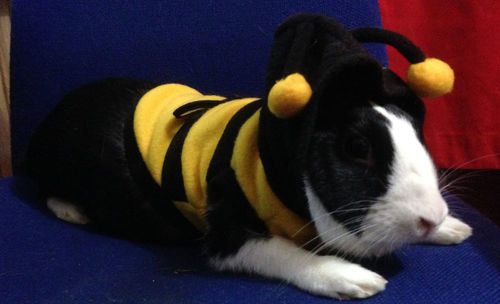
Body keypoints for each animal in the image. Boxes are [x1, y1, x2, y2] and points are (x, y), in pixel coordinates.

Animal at [23, 14, 470, 300]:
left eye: (416, 131)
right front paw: (354, 280)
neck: (269, 160)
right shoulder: (229, 230)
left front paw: (454, 229)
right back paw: (73, 212)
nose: (429, 218)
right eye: (356, 148)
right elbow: (286, 252)